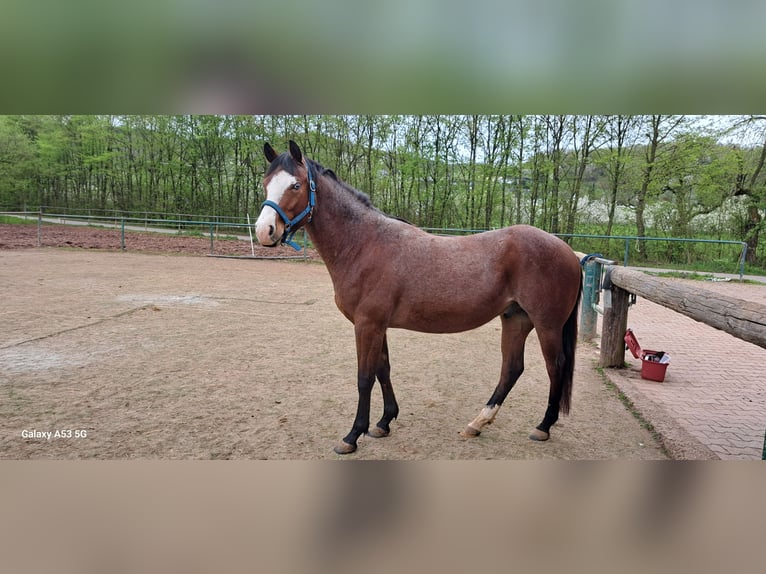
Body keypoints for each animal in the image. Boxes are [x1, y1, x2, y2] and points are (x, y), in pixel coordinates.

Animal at [255, 140, 583, 455]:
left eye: (295, 185)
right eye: (266, 183)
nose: (264, 231)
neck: (364, 244)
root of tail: (570, 253)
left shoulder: (367, 325)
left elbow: (364, 378)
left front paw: (352, 436)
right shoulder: (377, 326)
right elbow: (383, 370)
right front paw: (384, 422)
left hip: (546, 325)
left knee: (555, 367)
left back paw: (543, 427)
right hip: (516, 319)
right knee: (512, 368)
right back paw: (477, 423)